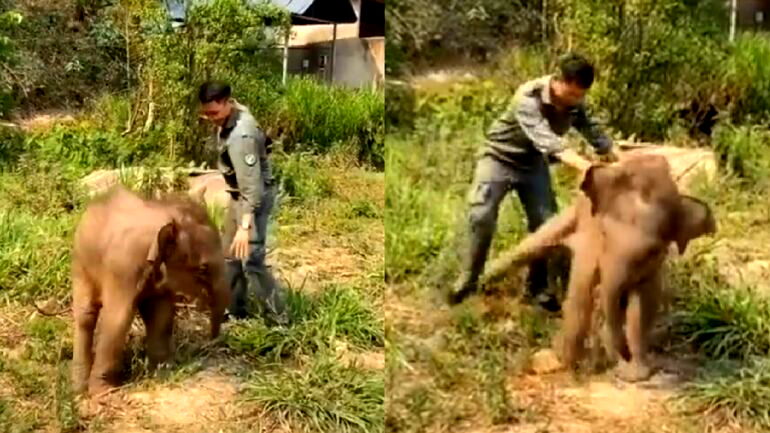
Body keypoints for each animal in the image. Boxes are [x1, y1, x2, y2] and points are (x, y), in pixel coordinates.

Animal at [70, 186, 230, 394]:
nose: (212, 342)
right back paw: (78, 388)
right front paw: (104, 393)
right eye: (203, 269)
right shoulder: (122, 269)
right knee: (86, 316)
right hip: (81, 263)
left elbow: (161, 315)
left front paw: (162, 374)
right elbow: (117, 319)